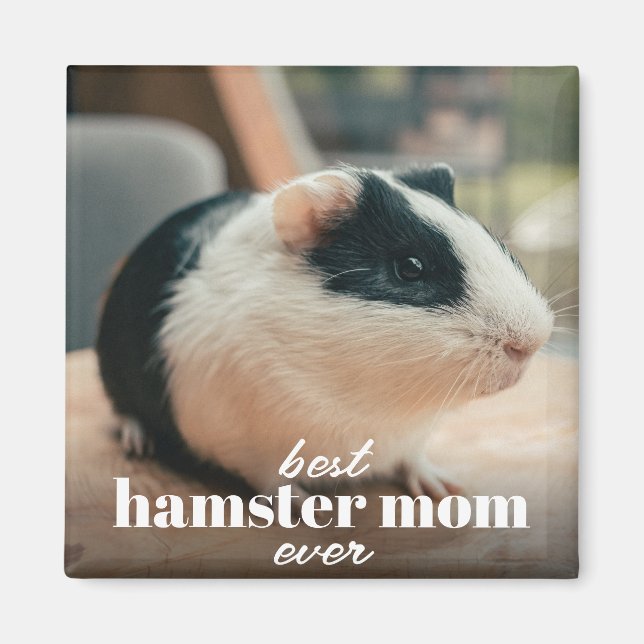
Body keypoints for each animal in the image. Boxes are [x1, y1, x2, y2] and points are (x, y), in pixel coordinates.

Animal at [96, 164, 553, 500]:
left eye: (490, 238)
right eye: (410, 267)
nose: (528, 343)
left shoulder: (409, 438)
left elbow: (413, 460)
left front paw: (445, 490)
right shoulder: (250, 446)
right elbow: (273, 482)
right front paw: (309, 508)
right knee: (124, 412)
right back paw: (138, 446)